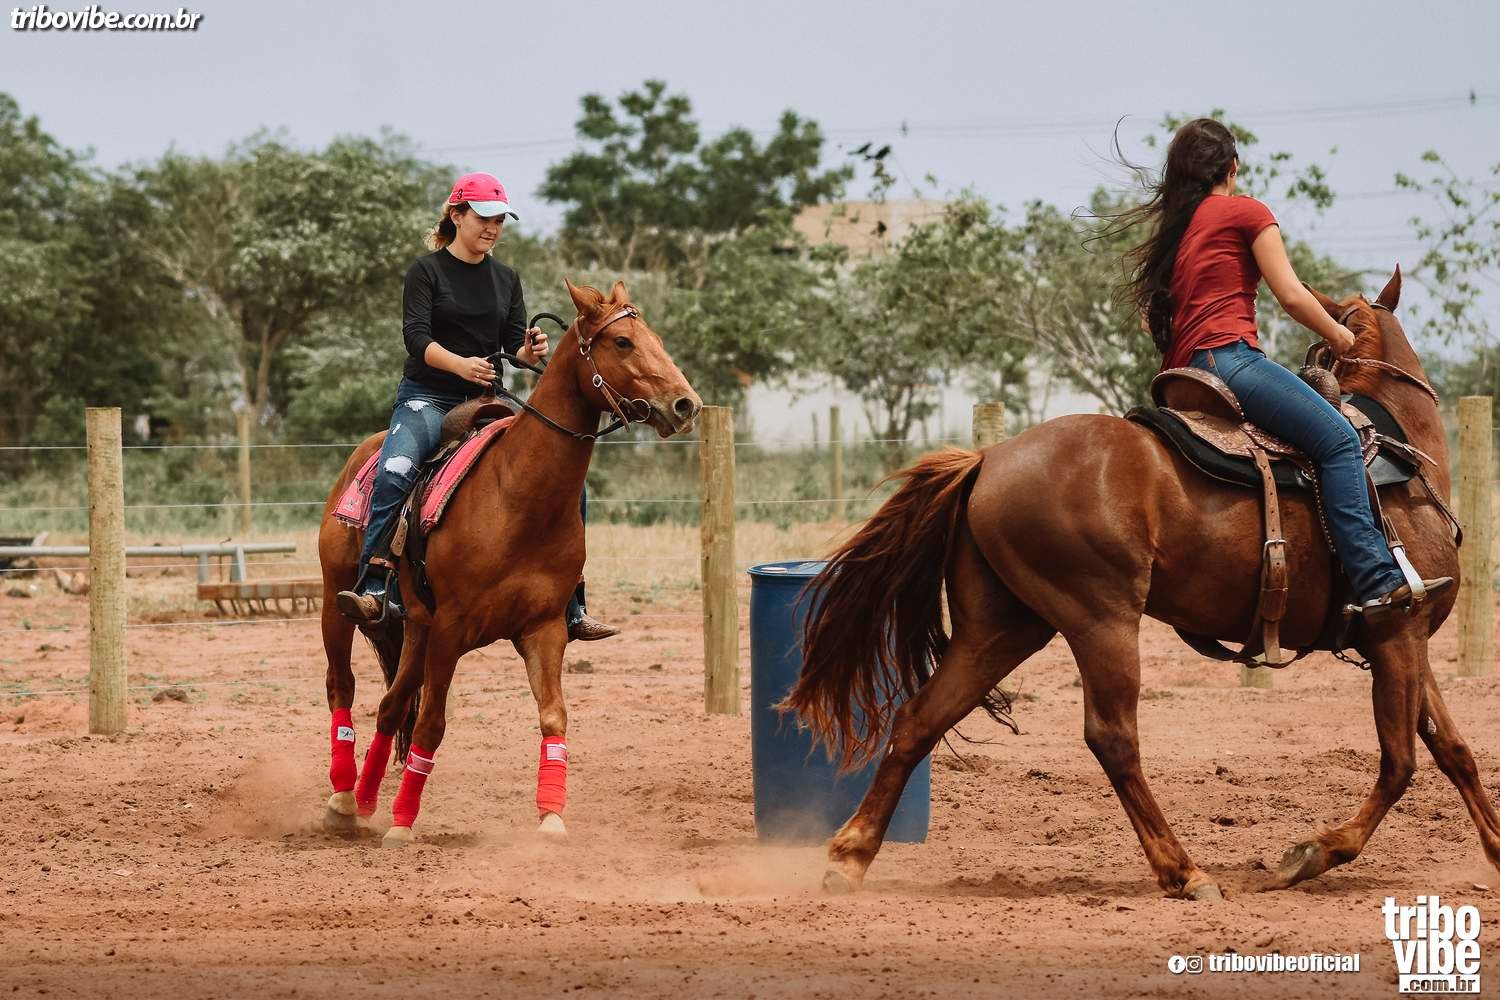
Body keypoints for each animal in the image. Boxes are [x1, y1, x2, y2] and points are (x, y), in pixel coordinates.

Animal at [317, 279, 701, 847]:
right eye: (623, 342)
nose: (684, 404)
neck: (516, 497)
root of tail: (360, 457)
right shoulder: (451, 628)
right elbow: (432, 724)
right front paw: (404, 823)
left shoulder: (543, 628)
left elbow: (553, 718)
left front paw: (552, 817)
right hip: (337, 606)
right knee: (342, 686)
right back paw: (343, 800)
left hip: (414, 628)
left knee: (391, 707)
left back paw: (365, 801)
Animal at [785, 268, 1494, 899]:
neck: (1399, 461)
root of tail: (988, 459)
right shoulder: (1397, 634)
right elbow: (1401, 761)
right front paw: (1310, 854)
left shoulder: (1403, 639)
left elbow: (1452, 748)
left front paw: (1492, 849)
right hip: (1101, 621)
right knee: (1113, 738)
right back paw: (1184, 872)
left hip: (1001, 628)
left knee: (919, 718)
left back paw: (849, 858)